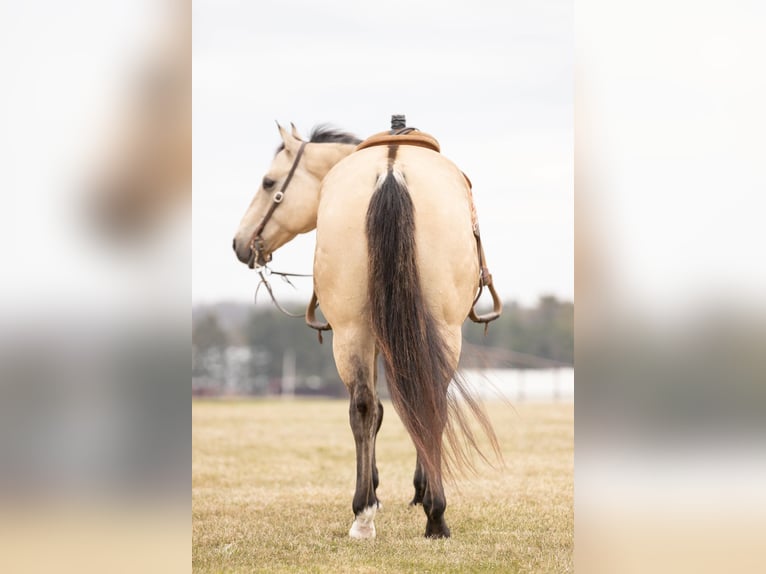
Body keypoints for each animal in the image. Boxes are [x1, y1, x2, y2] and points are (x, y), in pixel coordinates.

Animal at [231, 116, 500, 540]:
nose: (240, 243)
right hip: (433, 329)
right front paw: (418, 494)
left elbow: (381, 410)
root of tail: (389, 170)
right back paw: (433, 516)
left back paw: (364, 516)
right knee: (425, 401)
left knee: (364, 406)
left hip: (352, 330)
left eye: (268, 183)